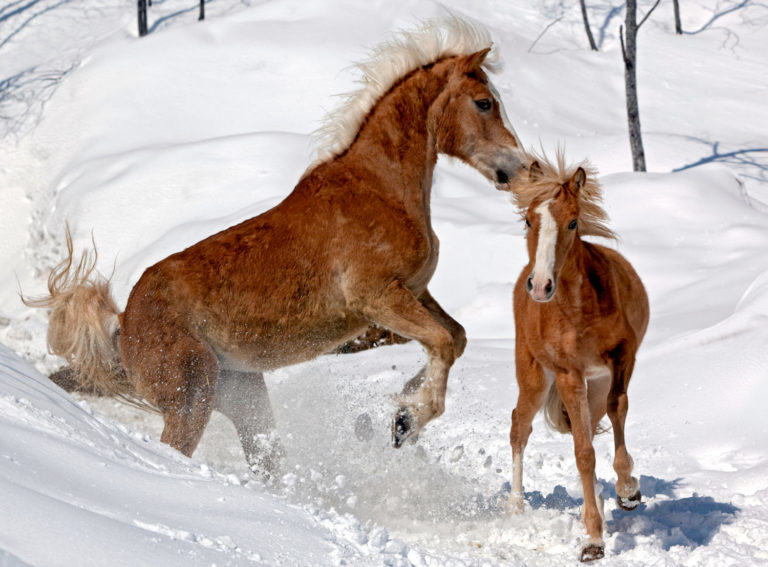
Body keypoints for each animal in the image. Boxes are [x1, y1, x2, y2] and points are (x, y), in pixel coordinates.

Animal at [24, 16, 524, 480]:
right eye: (484, 103)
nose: (519, 168)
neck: (380, 188)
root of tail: (124, 322)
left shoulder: (415, 293)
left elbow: (455, 339)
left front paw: (402, 408)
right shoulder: (378, 299)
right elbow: (441, 341)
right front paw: (408, 420)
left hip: (243, 397)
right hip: (192, 399)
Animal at [508, 153, 649, 562]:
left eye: (572, 221)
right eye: (528, 220)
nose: (541, 286)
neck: (576, 310)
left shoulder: (621, 357)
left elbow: (618, 409)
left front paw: (628, 491)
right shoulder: (569, 374)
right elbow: (583, 452)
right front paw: (593, 541)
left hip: (594, 385)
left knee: (596, 417)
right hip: (536, 380)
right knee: (519, 426)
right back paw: (515, 506)